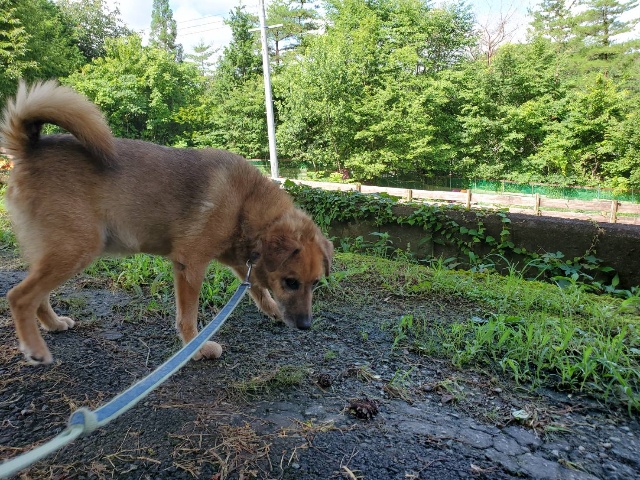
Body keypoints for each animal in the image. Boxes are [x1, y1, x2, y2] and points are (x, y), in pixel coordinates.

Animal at [1, 80, 333, 365]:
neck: (245, 203)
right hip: (76, 249)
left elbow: (258, 291)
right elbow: (188, 316)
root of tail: (29, 149)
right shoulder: (190, 266)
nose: (306, 326)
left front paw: (272, 310)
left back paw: (53, 323)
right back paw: (34, 347)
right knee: (19, 297)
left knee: (37, 296)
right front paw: (196, 349)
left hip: (55, 253)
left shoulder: (240, 263)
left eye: (315, 283)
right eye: (291, 282)